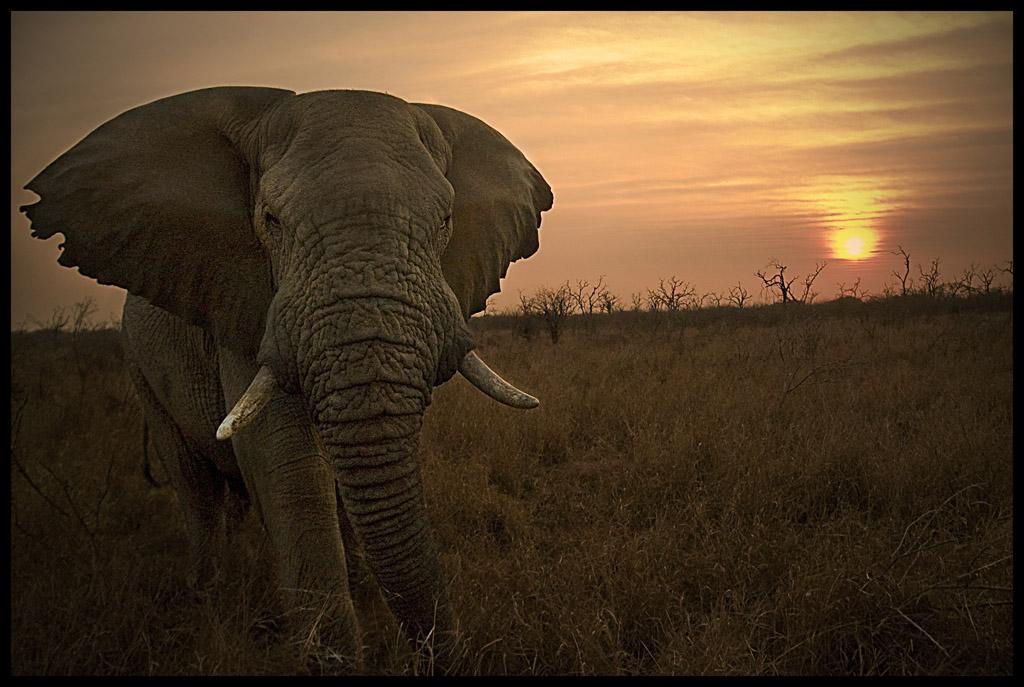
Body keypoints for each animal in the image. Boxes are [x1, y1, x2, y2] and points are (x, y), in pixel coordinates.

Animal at [22, 87, 552, 671]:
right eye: (270, 220)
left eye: (446, 220)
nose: (449, 658)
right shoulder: (245, 302)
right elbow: (287, 464)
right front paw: (333, 660)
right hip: (140, 368)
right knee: (195, 485)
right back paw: (211, 598)